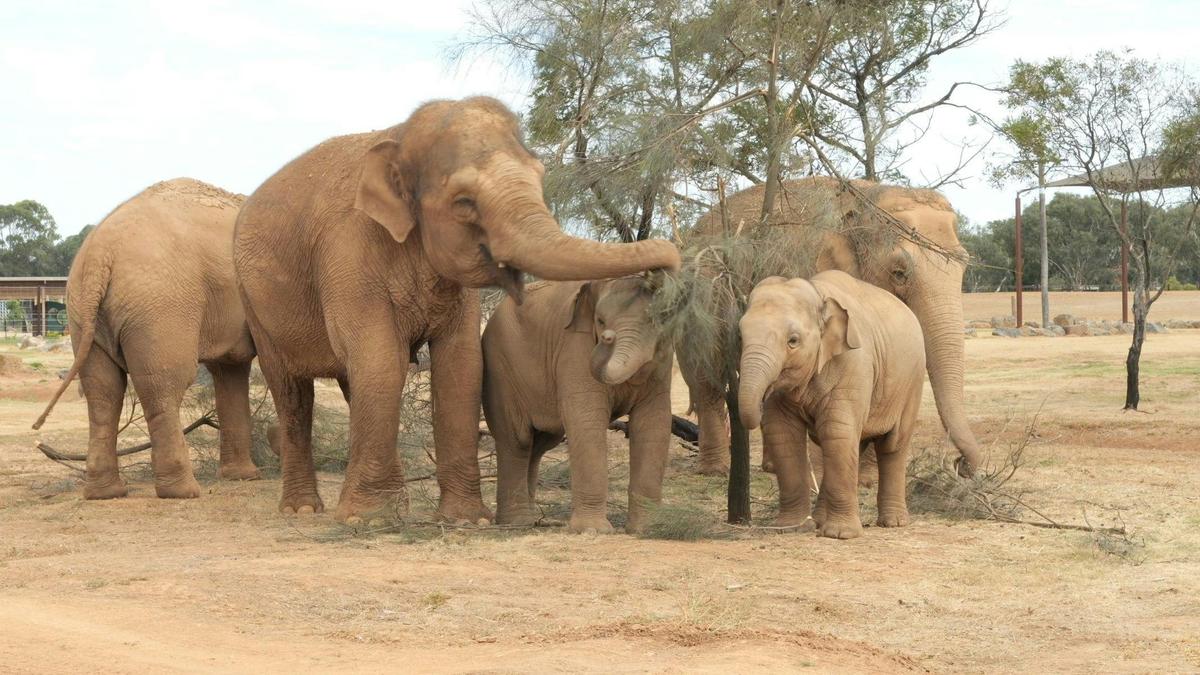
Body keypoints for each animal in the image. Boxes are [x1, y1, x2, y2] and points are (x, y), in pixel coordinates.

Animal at [34, 178, 259, 499]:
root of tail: (99, 253)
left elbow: (230, 369)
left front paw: (243, 477)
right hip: (161, 308)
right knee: (164, 383)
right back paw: (183, 492)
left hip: (83, 312)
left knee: (103, 391)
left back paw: (106, 493)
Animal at [482, 277, 672, 534]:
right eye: (600, 321)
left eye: (655, 320)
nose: (608, 337)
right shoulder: (574, 349)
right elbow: (586, 419)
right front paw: (593, 531)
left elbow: (654, 422)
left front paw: (648, 529)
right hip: (500, 368)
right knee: (517, 440)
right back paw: (517, 522)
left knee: (539, 443)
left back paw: (529, 519)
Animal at [685, 177, 980, 476]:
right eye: (899, 273)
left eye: (964, 265)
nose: (961, 465)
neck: (865, 197)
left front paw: (867, 479)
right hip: (699, 299)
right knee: (705, 376)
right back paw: (714, 470)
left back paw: (771, 468)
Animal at [738, 271, 925, 539]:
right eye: (740, 337)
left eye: (793, 341)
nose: (762, 396)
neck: (818, 293)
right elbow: (784, 434)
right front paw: (789, 528)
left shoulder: (853, 363)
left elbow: (837, 431)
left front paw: (841, 535)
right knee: (852, 443)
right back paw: (819, 520)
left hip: (912, 382)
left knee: (892, 445)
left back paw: (893, 523)